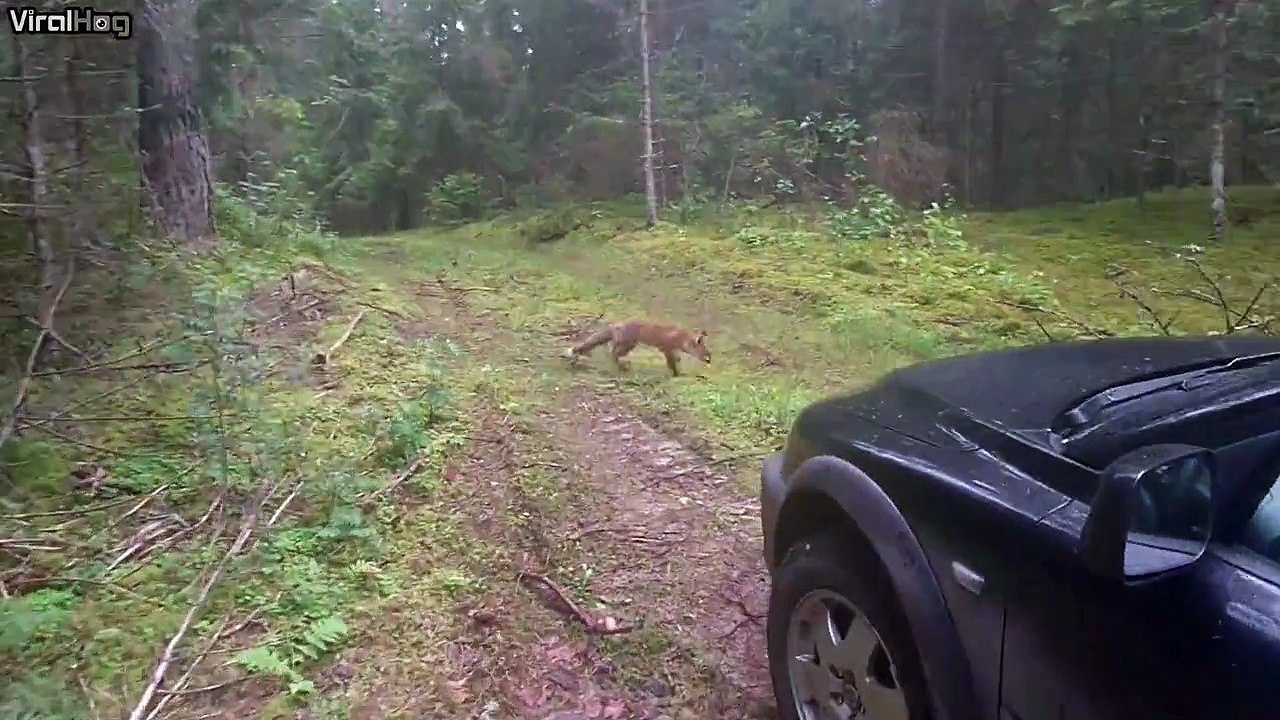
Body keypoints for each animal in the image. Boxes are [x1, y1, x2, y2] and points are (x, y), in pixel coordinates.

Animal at [565, 319, 711, 376]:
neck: (681, 338)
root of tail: (616, 324)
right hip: (627, 345)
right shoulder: (667, 348)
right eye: (706, 352)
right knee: (612, 352)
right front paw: (676, 374)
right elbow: (672, 364)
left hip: (627, 345)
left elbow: (676, 360)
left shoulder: (672, 350)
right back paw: (620, 367)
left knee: (612, 351)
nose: (710, 360)